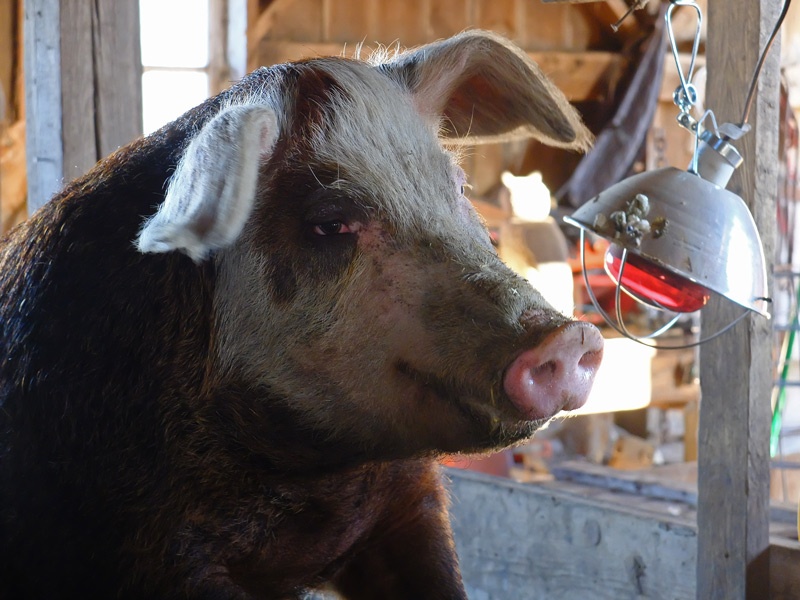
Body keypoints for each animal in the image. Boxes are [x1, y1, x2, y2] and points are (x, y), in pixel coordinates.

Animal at [0, 30, 603, 599]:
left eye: (457, 188)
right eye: (330, 223)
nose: (567, 338)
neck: (312, 477)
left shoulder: (410, 503)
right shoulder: (147, 547)